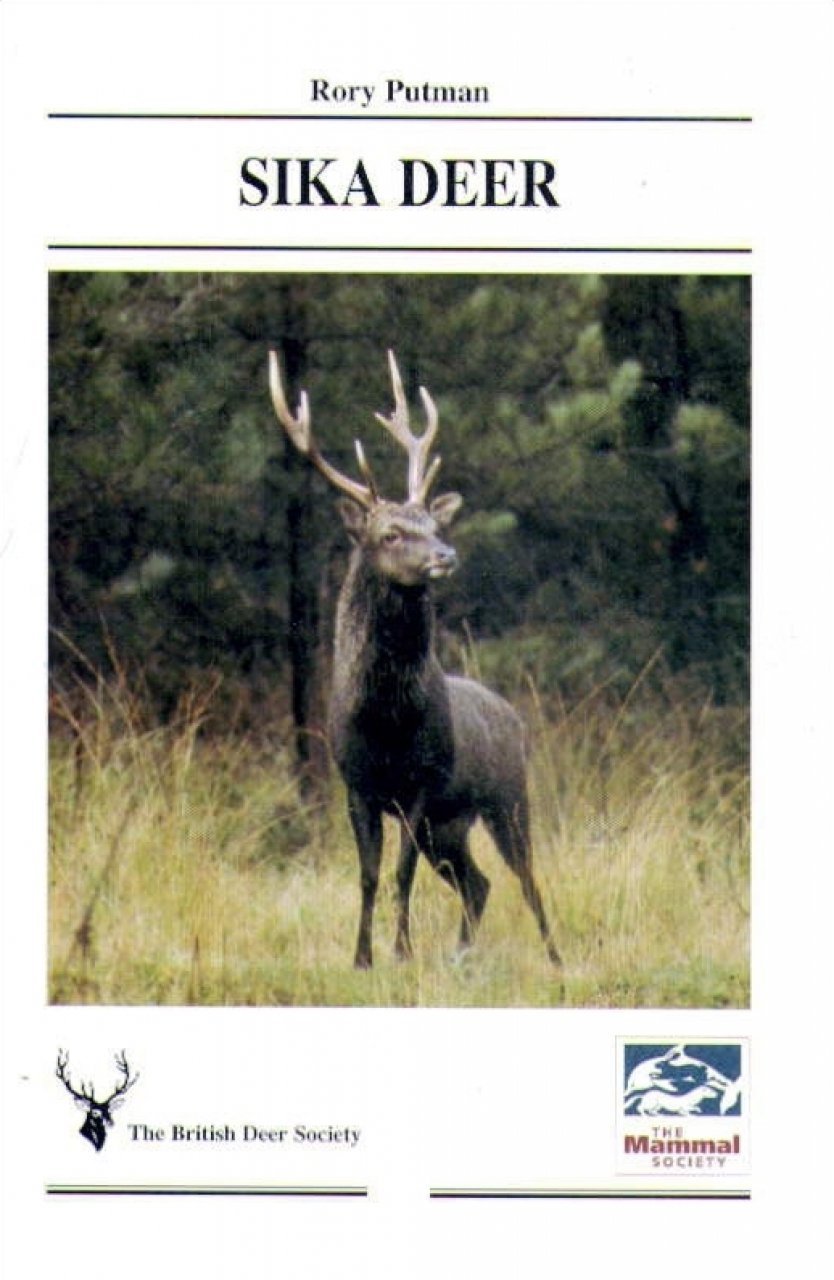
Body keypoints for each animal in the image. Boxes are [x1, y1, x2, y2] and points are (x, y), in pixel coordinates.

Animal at [269, 348, 561, 970]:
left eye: (434, 523)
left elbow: (399, 875)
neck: (386, 720)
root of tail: (512, 714)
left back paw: (555, 958)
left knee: (526, 878)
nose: (445, 554)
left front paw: (400, 952)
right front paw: (361, 956)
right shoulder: (357, 785)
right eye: (390, 533)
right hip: (449, 825)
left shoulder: (420, 784)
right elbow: (368, 876)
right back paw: (462, 954)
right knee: (477, 882)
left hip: (506, 796)